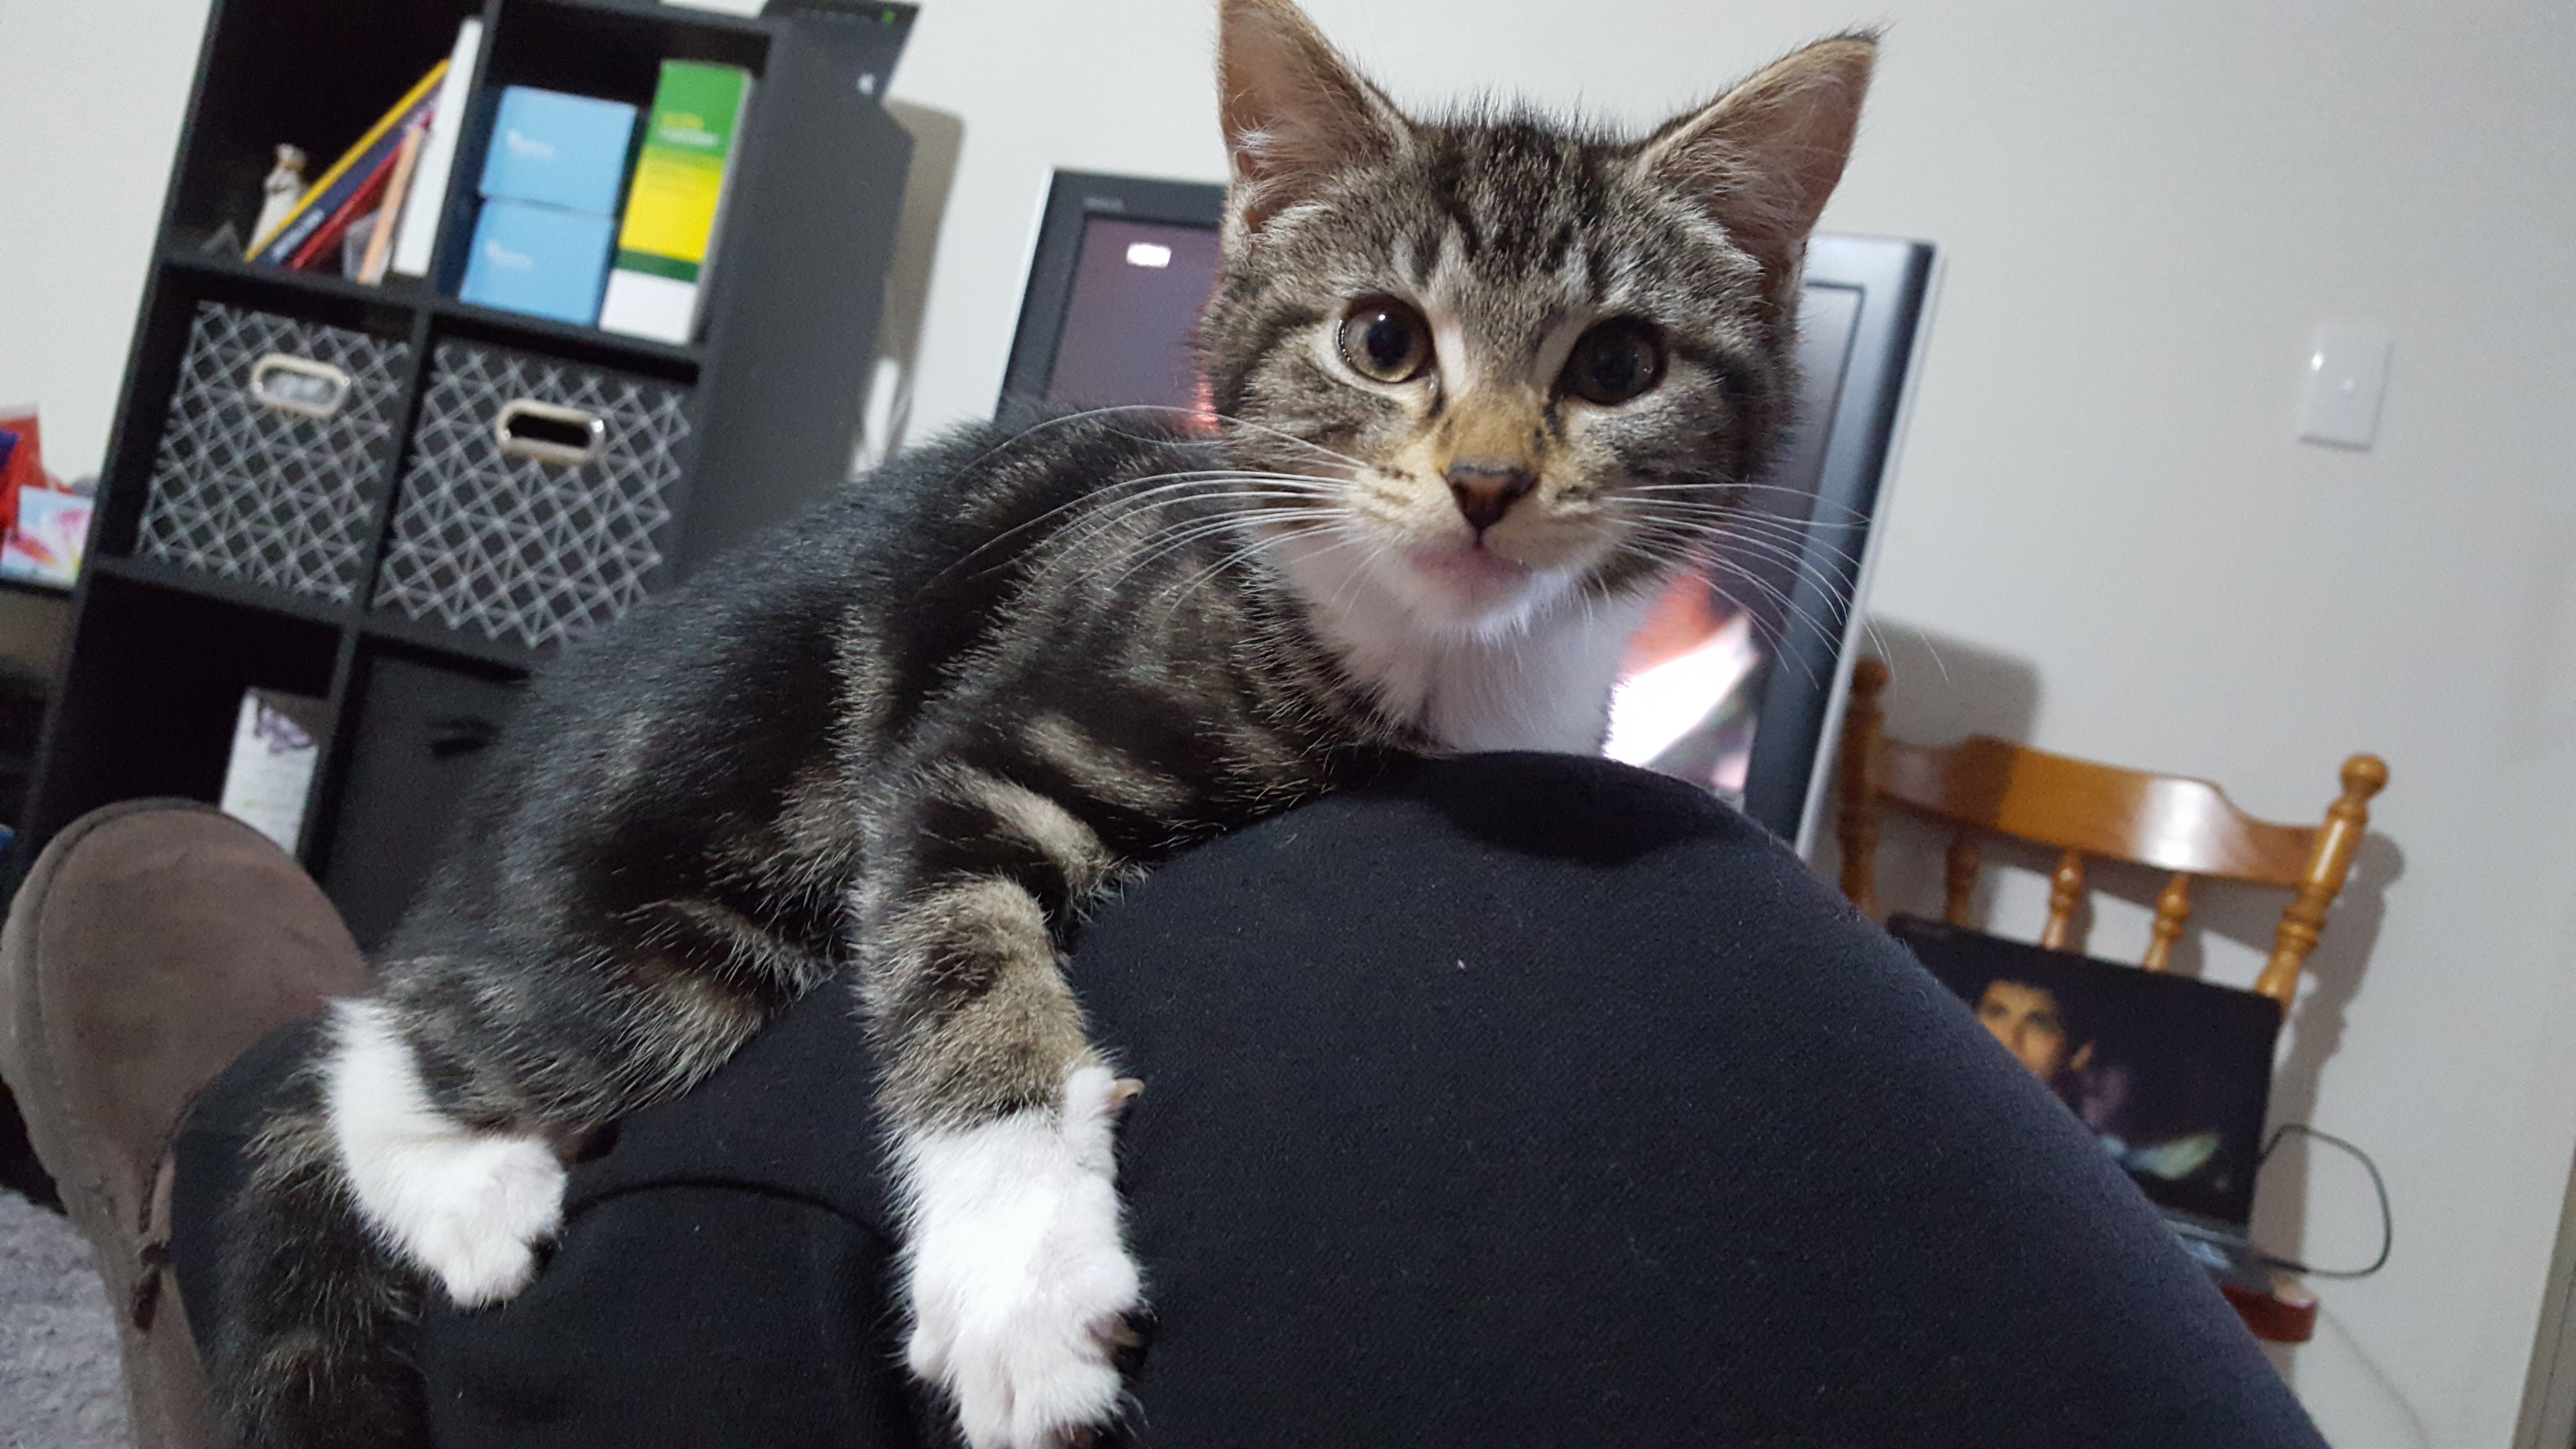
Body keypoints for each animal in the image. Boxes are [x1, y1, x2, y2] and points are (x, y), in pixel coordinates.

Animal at [208, 2, 1874, 1445]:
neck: (1426, 659)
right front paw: (1020, 1284)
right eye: (1385, 340)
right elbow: (960, 978)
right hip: (670, 933)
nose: (1485, 480)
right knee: (368, 1036)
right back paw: (469, 1195)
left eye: (1620, 364)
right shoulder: (977, 759)